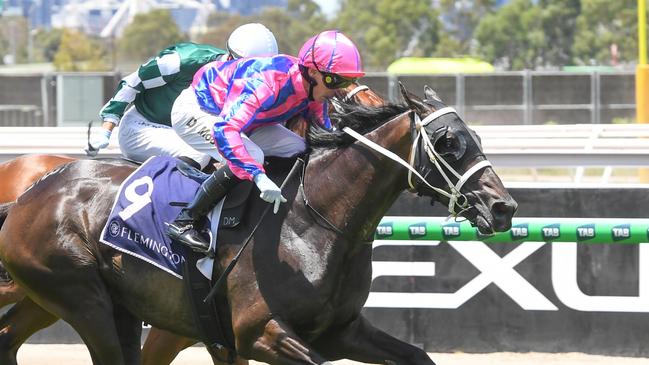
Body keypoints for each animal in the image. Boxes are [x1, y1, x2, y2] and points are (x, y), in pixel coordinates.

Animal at [0, 83, 516, 364]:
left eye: (476, 136)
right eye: (448, 142)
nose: (503, 207)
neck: (312, 221)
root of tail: (30, 193)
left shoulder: (340, 331)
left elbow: (417, 354)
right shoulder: (257, 332)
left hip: (77, 303)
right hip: (81, 298)